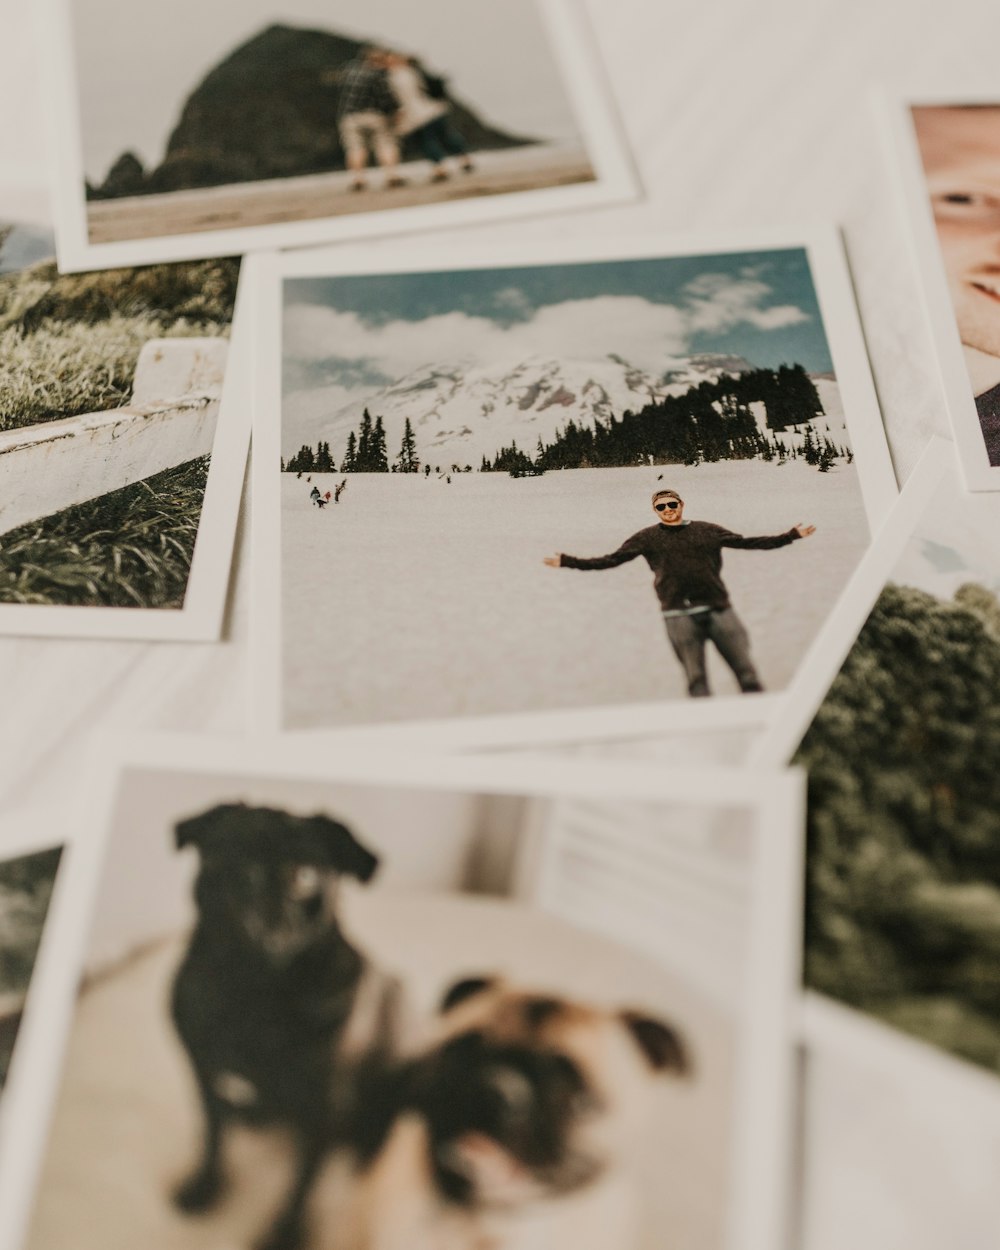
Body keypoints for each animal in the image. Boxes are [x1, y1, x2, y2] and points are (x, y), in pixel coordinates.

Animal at [168, 800, 402, 1250]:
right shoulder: (202, 1077)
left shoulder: (321, 1111)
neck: (251, 994)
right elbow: (213, 1138)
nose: (251, 880)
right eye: (219, 854)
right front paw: (205, 1186)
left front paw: (286, 1234)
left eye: (303, 876)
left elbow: (301, 1185)